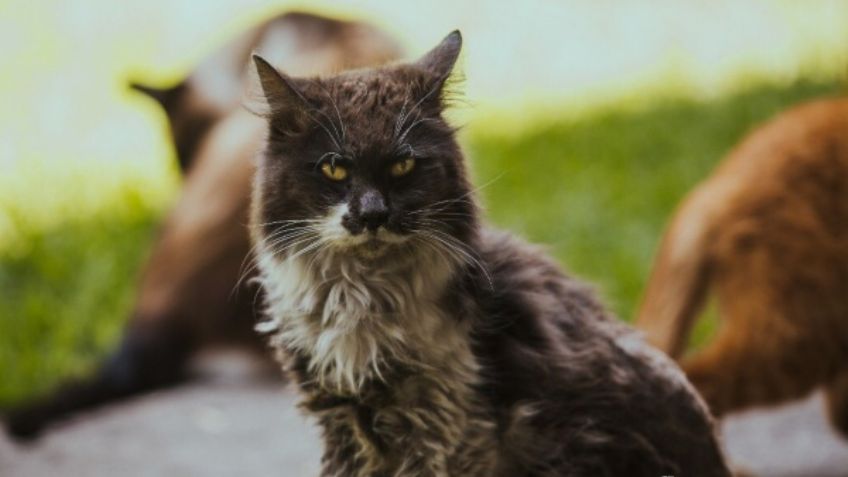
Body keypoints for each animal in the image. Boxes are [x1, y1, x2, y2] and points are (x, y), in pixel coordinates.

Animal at [248, 30, 732, 476]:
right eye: (334, 168)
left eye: (403, 166)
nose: (373, 214)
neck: (364, 300)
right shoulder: (343, 419)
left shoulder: (451, 422)